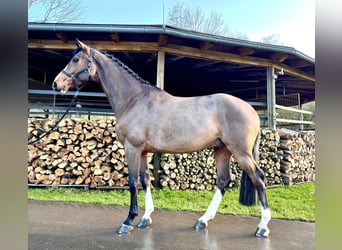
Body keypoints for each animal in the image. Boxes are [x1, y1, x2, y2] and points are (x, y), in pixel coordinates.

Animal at [53, 40, 272, 237]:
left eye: (75, 59)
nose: (56, 83)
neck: (133, 100)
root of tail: (251, 109)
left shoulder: (132, 149)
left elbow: (133, 182)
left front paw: (128, 221)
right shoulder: (143, 152)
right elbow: (145, 180)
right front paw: (145, 218)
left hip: (240, 152)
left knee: (258, 179)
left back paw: (262, 227)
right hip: (222, 149)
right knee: (223, 181)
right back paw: (203, 220)